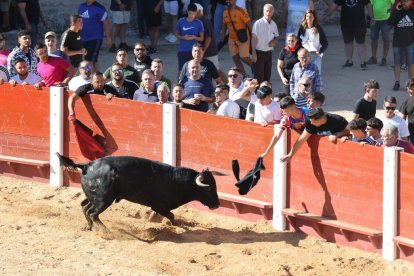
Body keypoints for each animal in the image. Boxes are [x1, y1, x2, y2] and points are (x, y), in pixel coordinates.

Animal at [56, 153, 225, 231]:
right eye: (208, 187)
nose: (217, 204)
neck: (177, 181)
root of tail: (87, 165)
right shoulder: (159, 206)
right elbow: (171, 215)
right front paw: (178, 226)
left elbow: (171, 216)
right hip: (103, 200)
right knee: (92, 212)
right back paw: (105, 231)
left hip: (94, 197)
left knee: (84, 206)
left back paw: (90, 227)